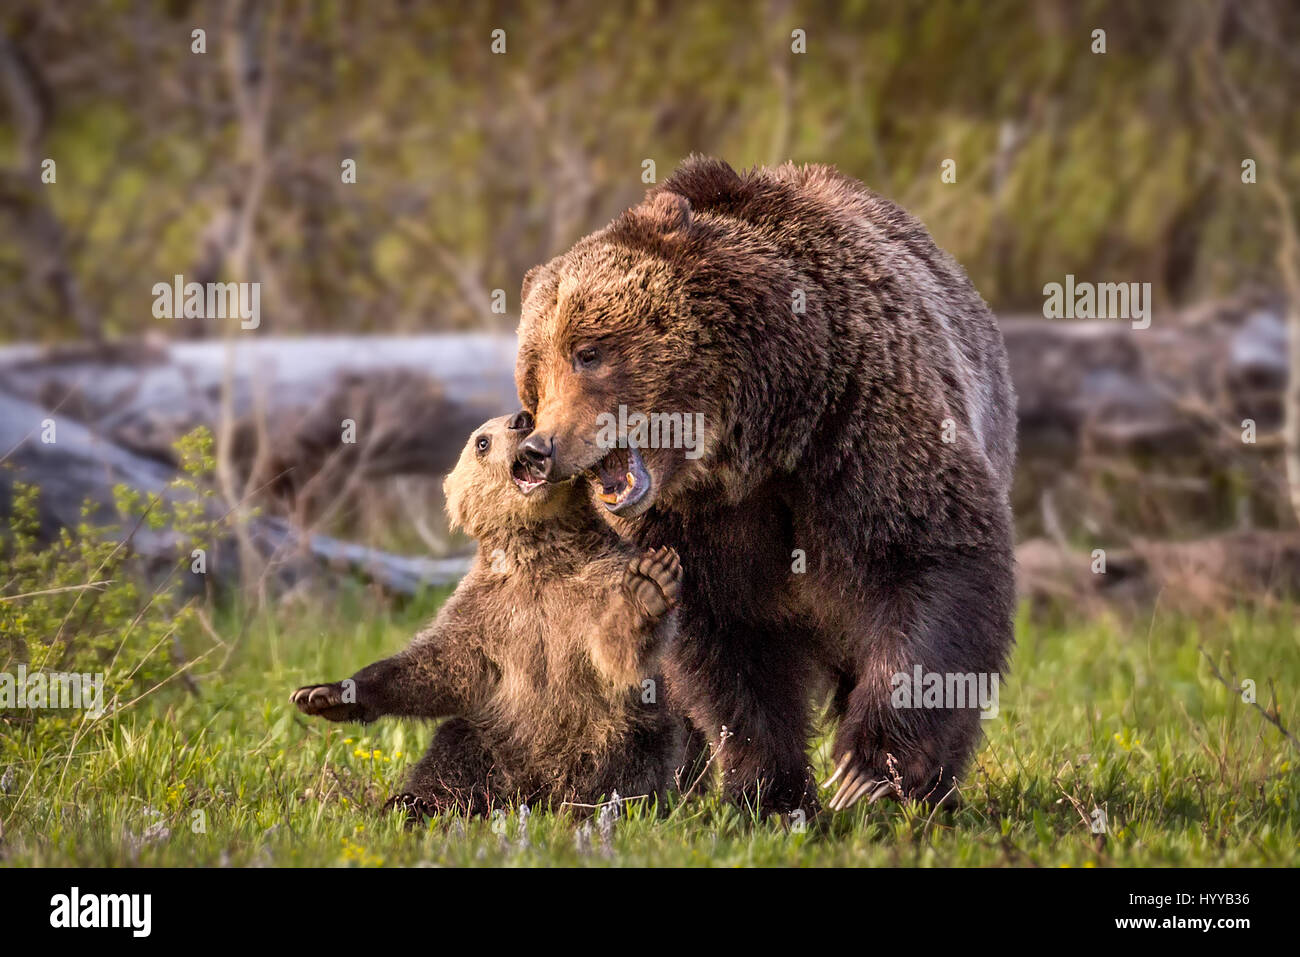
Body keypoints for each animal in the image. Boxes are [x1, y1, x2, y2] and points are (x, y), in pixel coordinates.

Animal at [291, 411, 686, 816]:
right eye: (482, 441)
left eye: (533, 416)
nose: (521, 419)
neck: (540, 554)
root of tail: (536, 790)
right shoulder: (485, 611)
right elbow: (438, 666)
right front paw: (323, 694)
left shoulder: (595, 584)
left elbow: (613, 652)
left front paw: (649, 587)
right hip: (496, 734)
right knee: (453, 756)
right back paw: (412, 804)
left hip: (615, 729)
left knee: (627, 764)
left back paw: (595, 808)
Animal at [514, 156, 1017, 816]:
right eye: (533, 377)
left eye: (587, 350)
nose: (538, 449)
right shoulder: (692, 528)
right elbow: (724, 650)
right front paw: (771, 791)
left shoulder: (858, 429)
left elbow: (934, 559)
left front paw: (868, 771)